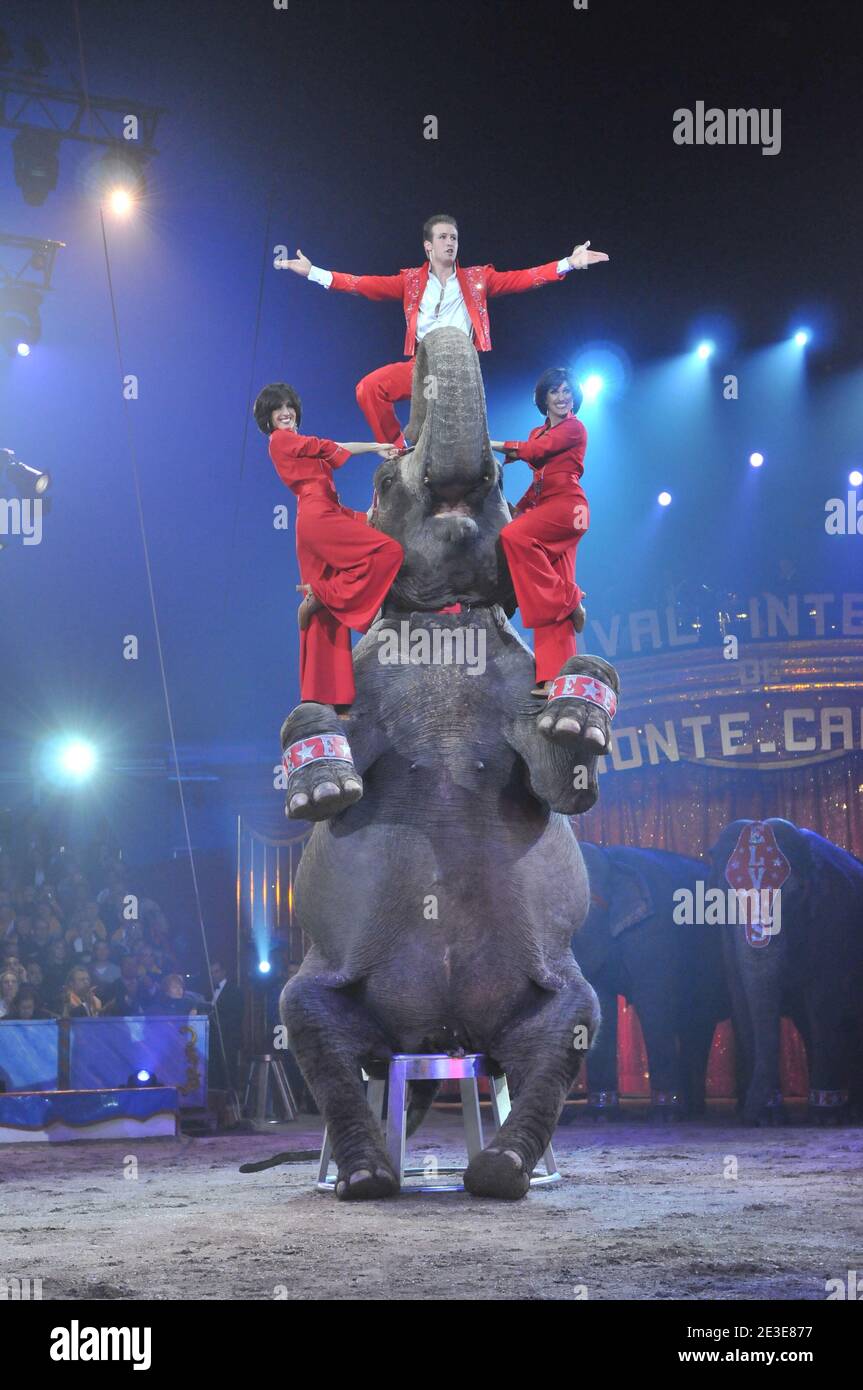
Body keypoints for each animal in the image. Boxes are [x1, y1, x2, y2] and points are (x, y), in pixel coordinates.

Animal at [276, 322, 619, 1195]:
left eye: (502, 477)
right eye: (384, 478)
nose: (497, 453)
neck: (445, 623)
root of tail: (440, 1042)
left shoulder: (513, 679)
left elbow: (561, 787)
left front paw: (578, 722)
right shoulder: (371, 680)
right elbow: (322, 719)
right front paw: (319, 793)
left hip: (557, 986)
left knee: (565, 1030)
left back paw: (498, 1171)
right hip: (321, 980)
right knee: (315, 1034)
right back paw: (367, 1175)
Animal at [572, 834, 728, 1117]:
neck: (611, 858)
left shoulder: (656, 933)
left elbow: (654, 1005)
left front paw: (665, 1113)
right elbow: (604, 1006)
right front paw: (599, 1114)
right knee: (697, 1025)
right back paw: (694, 1109)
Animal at [705, 817, 861, 1123]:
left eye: (795, 895)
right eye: (721, 899)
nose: (745, 1115)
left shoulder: (834, 915)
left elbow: (823, 1001)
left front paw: (824, 1117)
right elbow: (742, 1000)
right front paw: (767, 1117)